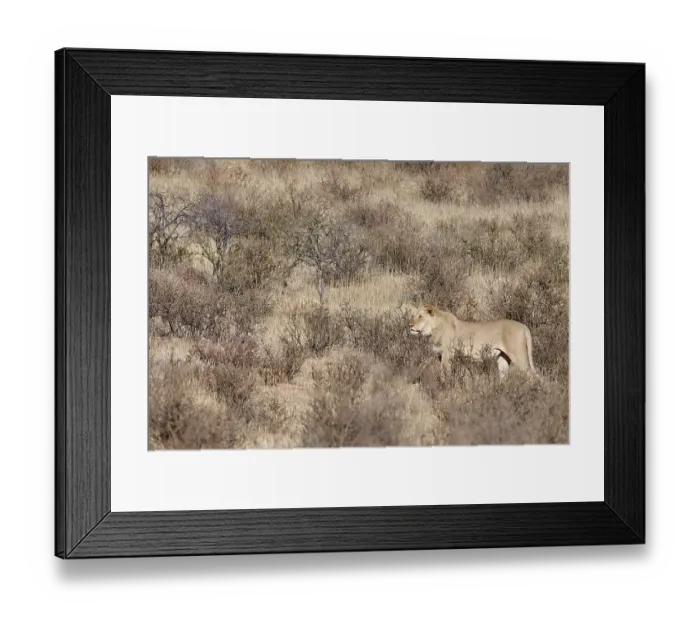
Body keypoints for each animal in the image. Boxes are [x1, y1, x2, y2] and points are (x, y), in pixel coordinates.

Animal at [407, 304, 536, 378]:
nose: (410, 325)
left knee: (532, 375)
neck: (434, 329)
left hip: (519, 357)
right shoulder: (440, 355)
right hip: (503, 358)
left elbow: (444, 373)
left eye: (420, 317)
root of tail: (525, 327)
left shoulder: (447, 354)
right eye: (412, 316)